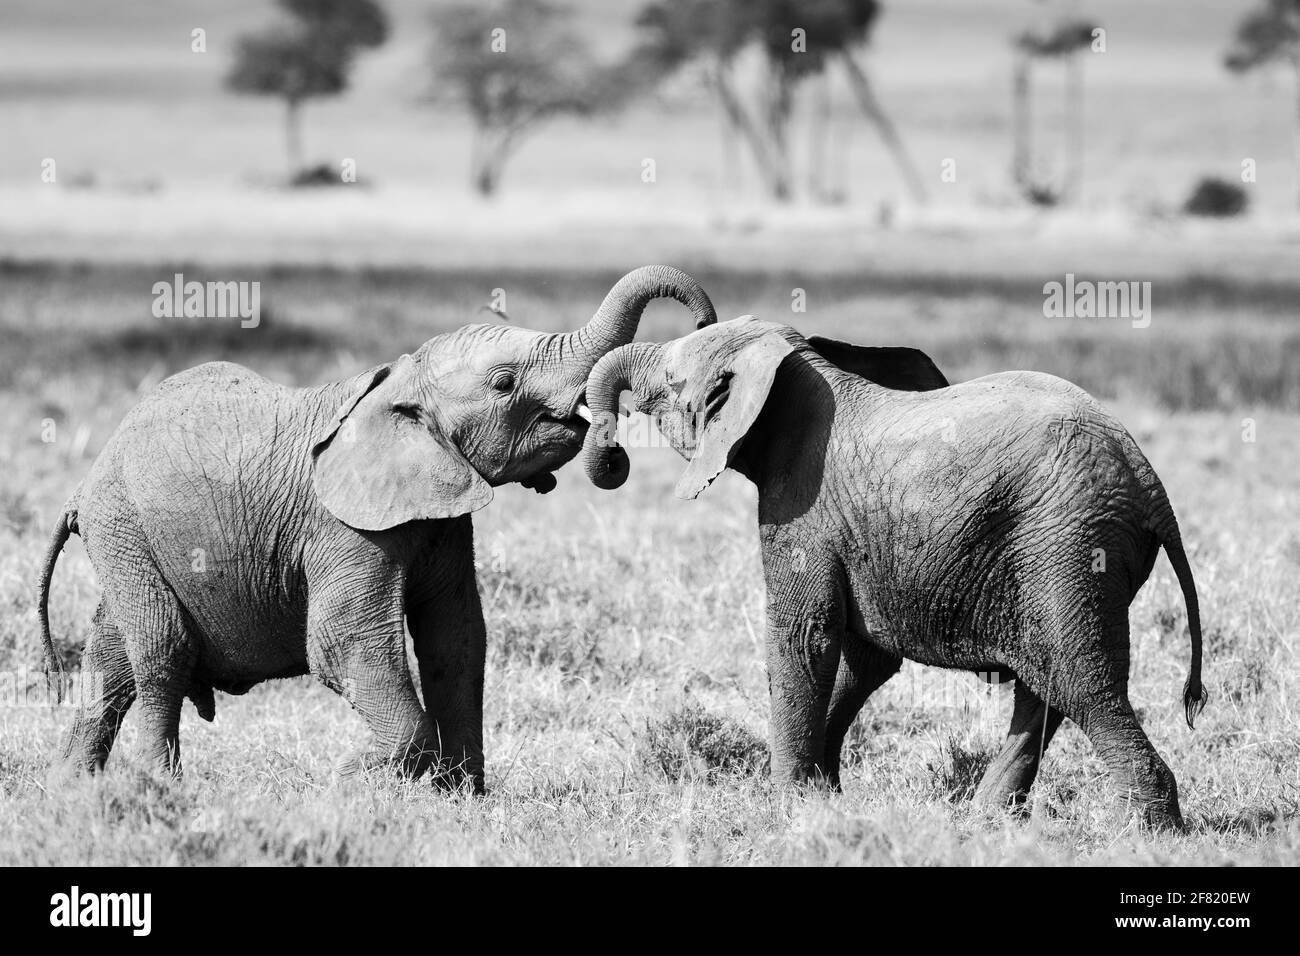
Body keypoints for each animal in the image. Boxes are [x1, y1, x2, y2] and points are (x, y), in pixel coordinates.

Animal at [35, 265, 717, 790]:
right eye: (503, 384)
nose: (702, 327)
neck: (397, 385)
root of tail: (82, 487)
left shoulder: (443, 520)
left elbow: (457, 639)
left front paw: (461, 798)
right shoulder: (342, 529)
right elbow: (345, 642)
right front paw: (358, 779)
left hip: (128, 539)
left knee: (110, 659)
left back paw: (72, 791)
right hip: (125, 528)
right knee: (160, 651)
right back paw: (161, 790)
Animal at [582, 317, 1206, 827]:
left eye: (667, 380)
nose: (613, 456)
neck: (796, 370)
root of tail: (1150, 483)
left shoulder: (803, 510)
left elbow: (803, 636)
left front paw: (790, 807)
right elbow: (866, 658)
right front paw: (824, 796)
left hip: (1068, 543)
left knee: (1083, 683)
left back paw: (1144, 830)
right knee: (1046, 685)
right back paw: (988, 819)